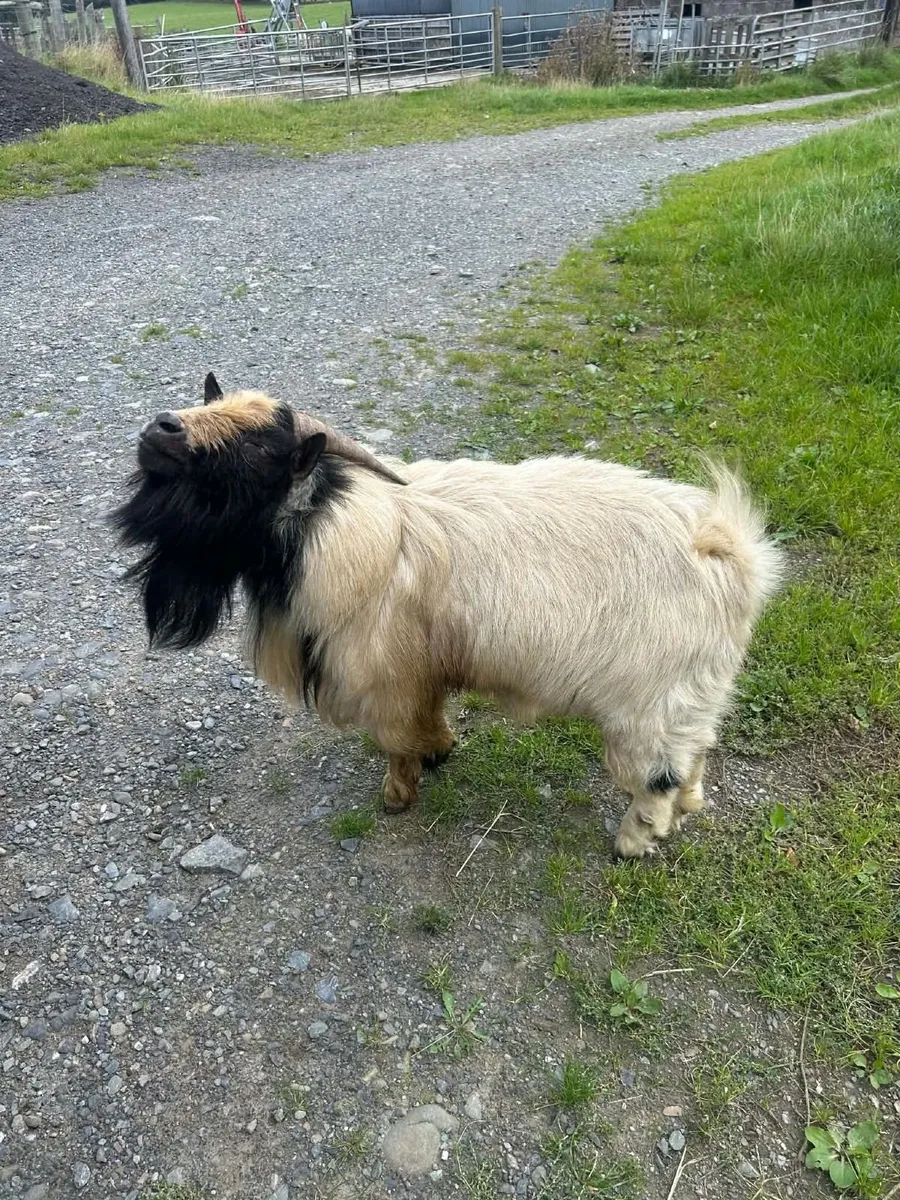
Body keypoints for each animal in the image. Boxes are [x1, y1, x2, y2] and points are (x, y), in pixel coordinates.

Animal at [112, 374, 783, 858]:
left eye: (258, 447)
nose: (162, 429)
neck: (330, 525)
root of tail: (731, 552)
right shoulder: (421, 669)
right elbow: (427, 718)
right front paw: (439, 751)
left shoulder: (385, 673)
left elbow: (396, 738)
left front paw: (399, 794)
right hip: (694, 695)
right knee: (697, 752)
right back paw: (690, 806)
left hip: (648, 706)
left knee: (655, 779)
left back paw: (632, 843)